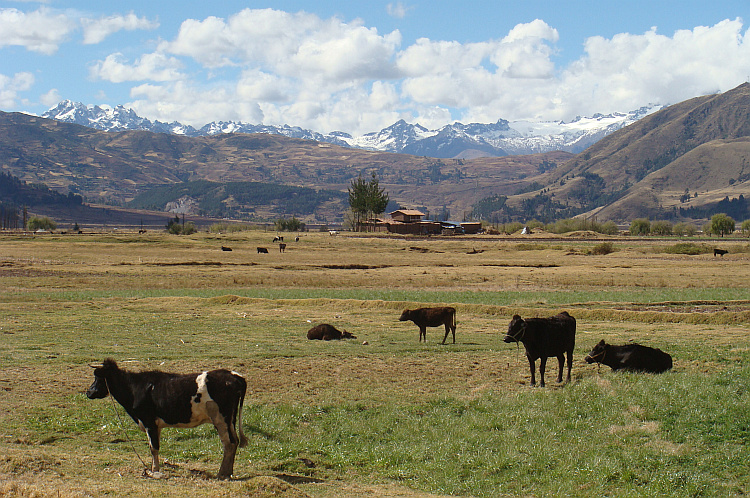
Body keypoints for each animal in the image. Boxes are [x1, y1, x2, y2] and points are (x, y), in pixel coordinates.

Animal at [86, 358, 248, 478]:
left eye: (97, 377)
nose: (88, 392)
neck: (134, 389)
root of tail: (235, 376)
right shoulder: (156, 425)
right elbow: (154, 447)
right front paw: (153, 469)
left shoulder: (149, 422)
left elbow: (153, 448)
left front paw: (155, 471)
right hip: (230, 420)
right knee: (234, 441)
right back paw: (228, 472)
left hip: (221, 419)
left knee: (229, 443)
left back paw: (222, 474)